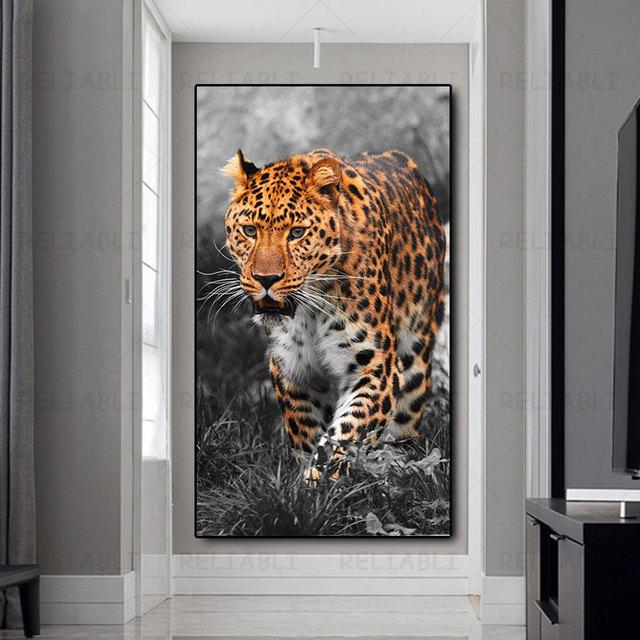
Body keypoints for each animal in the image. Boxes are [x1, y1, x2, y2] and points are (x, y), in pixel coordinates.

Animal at [222, 147, 446, 473]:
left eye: (297, 233)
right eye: (249, 231)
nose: (266, 279)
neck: (310, 311)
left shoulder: (377, 367)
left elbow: (347, 431)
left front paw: (321, 478)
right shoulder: (292, 368)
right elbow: (305, 427)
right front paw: (305, 477)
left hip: (416, 351)